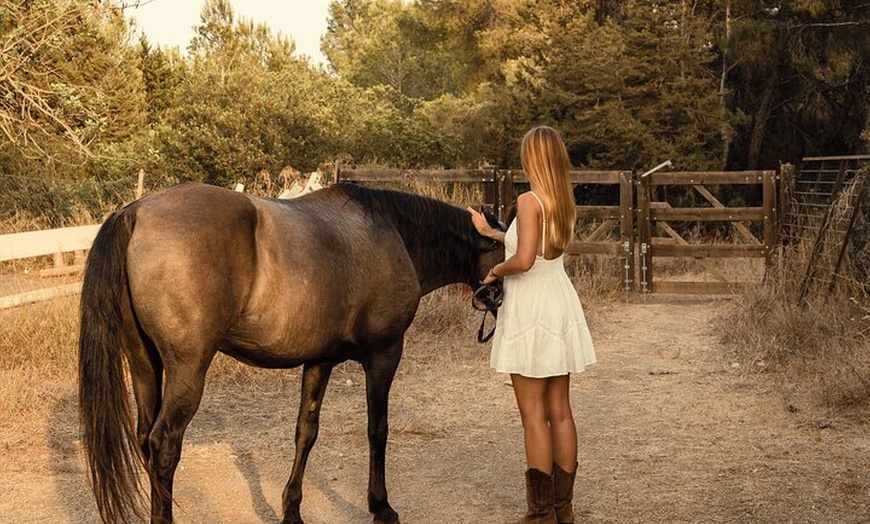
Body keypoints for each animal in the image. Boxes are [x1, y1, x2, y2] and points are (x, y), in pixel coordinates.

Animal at [78, 182, 504, 524]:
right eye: (508, 250)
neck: (394, 232)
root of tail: (134, 213)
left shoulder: (320, 361)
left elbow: (306, 432)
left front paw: (292, 509)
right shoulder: (384, 354)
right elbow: (377, 429)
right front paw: (381, 506)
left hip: (144, 364)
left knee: (144, 437)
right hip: (187, 371)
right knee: (164, 445)